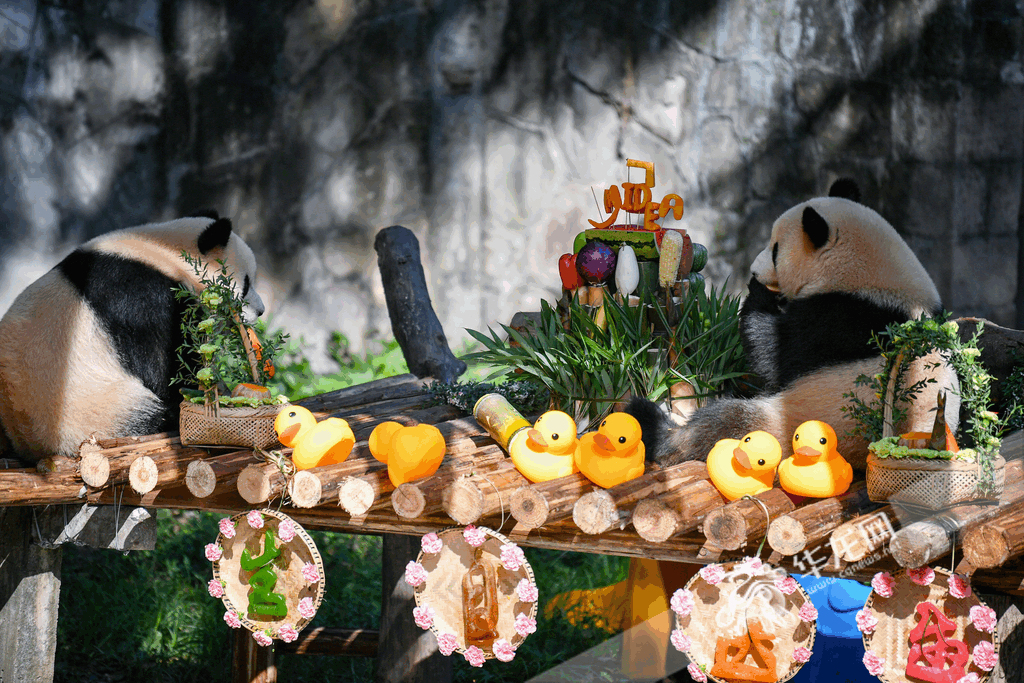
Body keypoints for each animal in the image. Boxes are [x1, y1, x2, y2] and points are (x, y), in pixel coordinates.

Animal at [0, 216, 268, 462]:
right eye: (246, 284)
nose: (261, 310)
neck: (162, 251)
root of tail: (31, 447)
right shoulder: (139, 296)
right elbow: (164, 368)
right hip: (99, 413)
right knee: (155, 417)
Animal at [622, 179, 958, 473]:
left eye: (775, 250)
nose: (753, 269)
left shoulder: (839, 321)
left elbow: (773, 353)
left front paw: (757, 293)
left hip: (792, 422)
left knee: (723, 426)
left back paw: (652, 425)